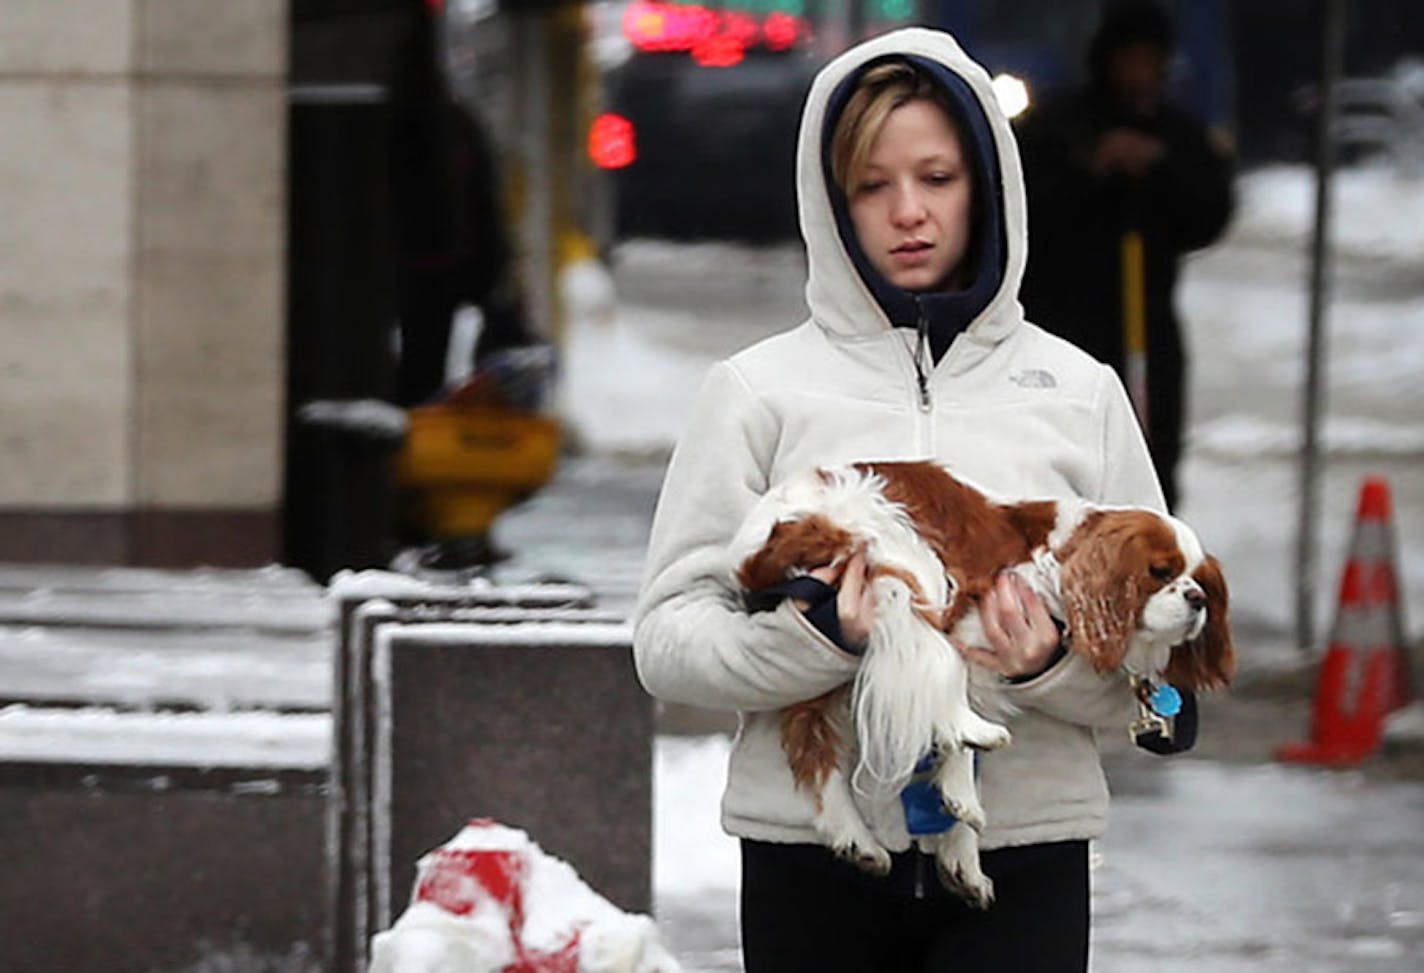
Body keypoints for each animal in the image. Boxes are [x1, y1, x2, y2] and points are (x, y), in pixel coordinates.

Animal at [729, 461, 1230, 911]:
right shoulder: (969, 630)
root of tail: (760, 543)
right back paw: (969, 731)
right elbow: (952, 715)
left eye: (1200, 581)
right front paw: (963, 793)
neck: (1055, 562)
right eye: (1160, 572)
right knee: (925, 647)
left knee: (810, 738)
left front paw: (962, 856)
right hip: (903, 557)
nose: (1197, 599)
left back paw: (853, 836)